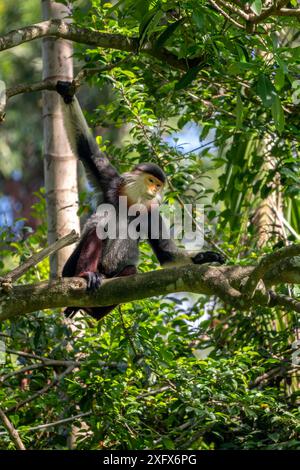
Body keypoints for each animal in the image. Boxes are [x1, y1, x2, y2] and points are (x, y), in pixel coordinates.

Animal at [56, 81, 225, 324]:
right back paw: (87, 275)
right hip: (68, 270)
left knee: (130, 272)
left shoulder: (151, 212)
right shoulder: (111, 183)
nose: (155, 190)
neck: (129, 203)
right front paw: (67, 93)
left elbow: (166, 254)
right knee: (97, 230)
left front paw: (204, 257)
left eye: (159, 185)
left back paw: (91, 309)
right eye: (152, 181)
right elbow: (85, 148)